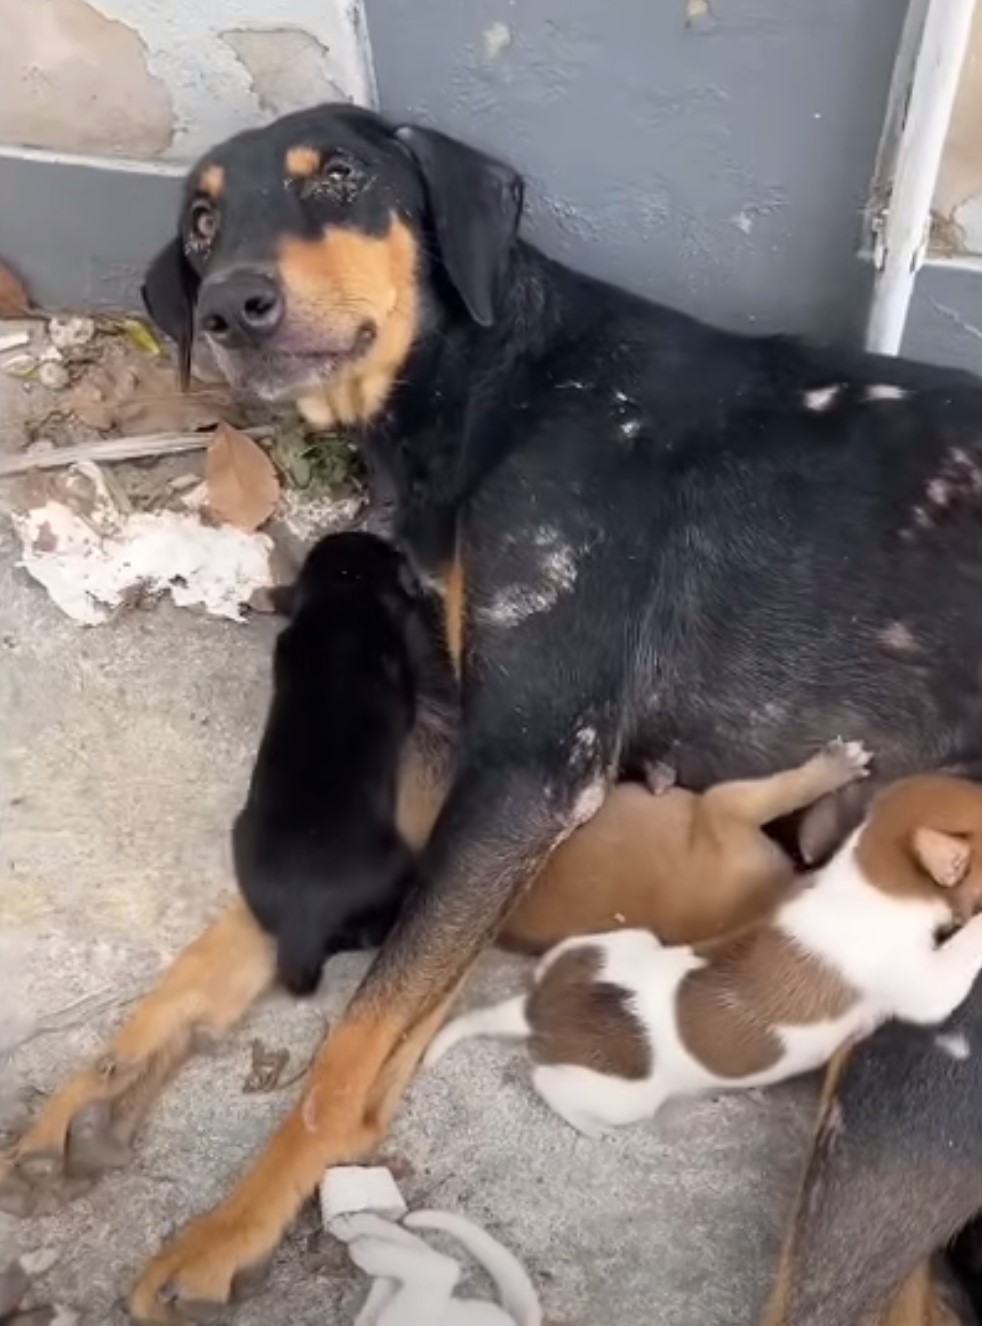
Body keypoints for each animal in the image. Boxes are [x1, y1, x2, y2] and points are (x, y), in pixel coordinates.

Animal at [235, 527, 424, 997]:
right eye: (385, 552)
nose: (395, 543)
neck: (342, 595)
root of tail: (304, 918)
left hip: (241, 836)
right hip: (399, 865)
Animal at [426, 774, 982, 1140]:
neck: (869, 877)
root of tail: (537, 1010)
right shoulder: (925, 986)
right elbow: (959, 958)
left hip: (617, 943)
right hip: (624, 1098)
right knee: (547, 1083)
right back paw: (587, 1125)